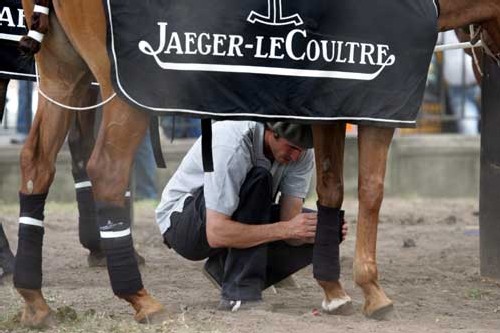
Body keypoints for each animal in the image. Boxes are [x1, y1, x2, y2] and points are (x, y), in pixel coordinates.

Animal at [12, 0, 500, 326]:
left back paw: (35, 299)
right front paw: (370, 290)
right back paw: (139, 297)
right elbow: (372, 189)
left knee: (37, 165)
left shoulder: (327, 104)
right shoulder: (375, 104)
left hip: (64, 75)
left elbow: (330, 188)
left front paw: (332, 287)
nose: (485, 68)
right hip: (127, 94)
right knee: (108, 172)